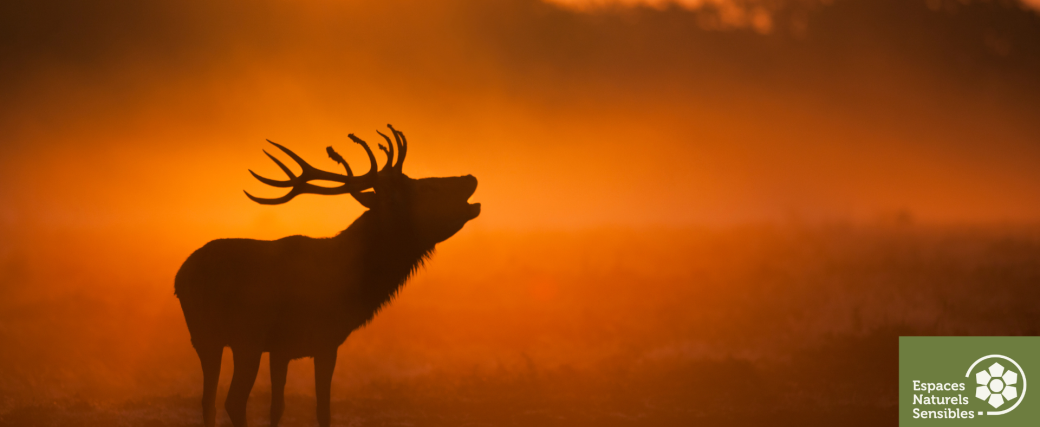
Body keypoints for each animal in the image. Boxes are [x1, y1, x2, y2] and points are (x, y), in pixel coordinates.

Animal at [174, 125, 480, 427]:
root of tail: (181, 279)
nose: (470, 177)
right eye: (426, 187)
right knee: (233, 401)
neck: (353, 284)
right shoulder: (325, 340)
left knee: (208, 402)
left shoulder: (281, 350)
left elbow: (277, 408)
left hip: (204, 338)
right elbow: (323, 411)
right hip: (245, 335)